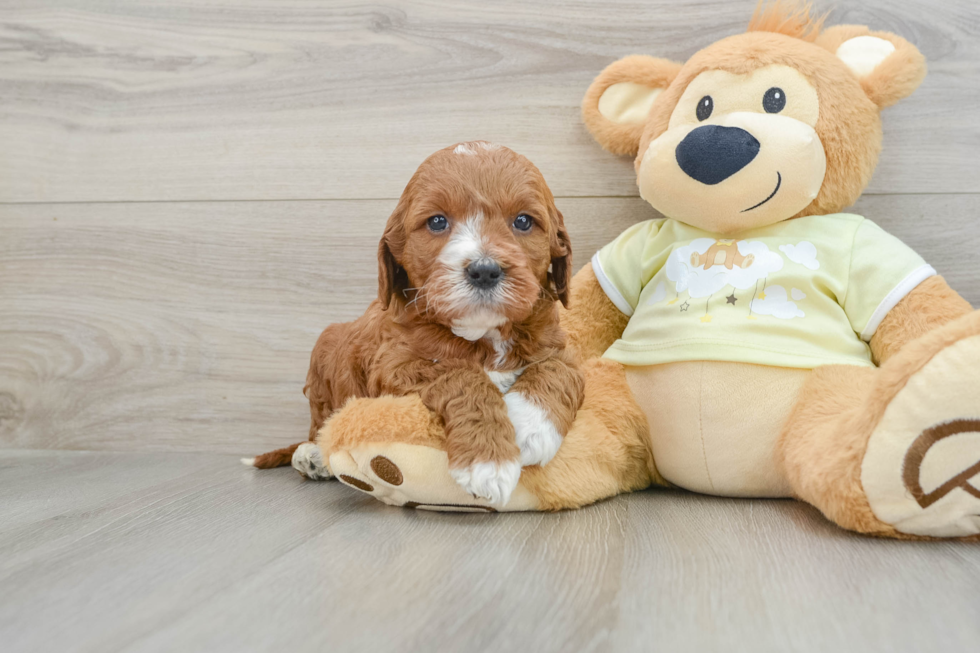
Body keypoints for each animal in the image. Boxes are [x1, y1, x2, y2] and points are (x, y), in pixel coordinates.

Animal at [251, 140, 580, 502]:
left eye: (523, 221)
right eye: (437, 222)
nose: (484, 270)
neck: (482, 333)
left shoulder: (558, 346)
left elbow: (559, 370)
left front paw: (531, 428)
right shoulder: (394, 366)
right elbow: (461, 374)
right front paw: (488, 462)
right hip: (324, 350)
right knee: (321, 424)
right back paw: (313, 455)